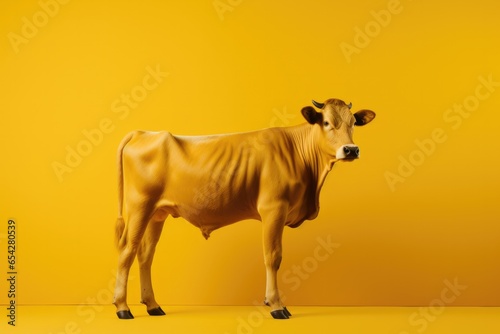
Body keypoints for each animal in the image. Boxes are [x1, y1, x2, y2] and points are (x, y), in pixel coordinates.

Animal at [113, 98, 376, 318]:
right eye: (326, 122)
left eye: (354, 123)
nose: (351, 150)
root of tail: (143, 133)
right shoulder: (273, 208)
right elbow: (273, 256)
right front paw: (276, 305)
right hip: (139, 206)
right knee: (127, 250)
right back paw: (123, 308)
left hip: (157, 213)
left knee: (145, 254)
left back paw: (153, 306)